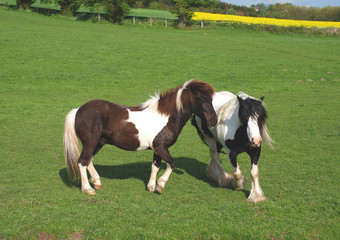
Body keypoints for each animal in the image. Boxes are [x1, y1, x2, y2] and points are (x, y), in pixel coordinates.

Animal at [63, 80, 218, 195]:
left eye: (211, 99)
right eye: (201, 99)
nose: (214, 121)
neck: (167, 117)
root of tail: (78, 110)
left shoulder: (157, 149)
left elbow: (155, 166)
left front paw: (151, 187)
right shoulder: (161, 147)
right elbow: (172, 164)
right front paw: (160, 185)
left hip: (98, 143)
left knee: (88, 160)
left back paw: (96, 182)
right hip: (91, 143)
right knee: (82, 162)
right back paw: (88, 189)